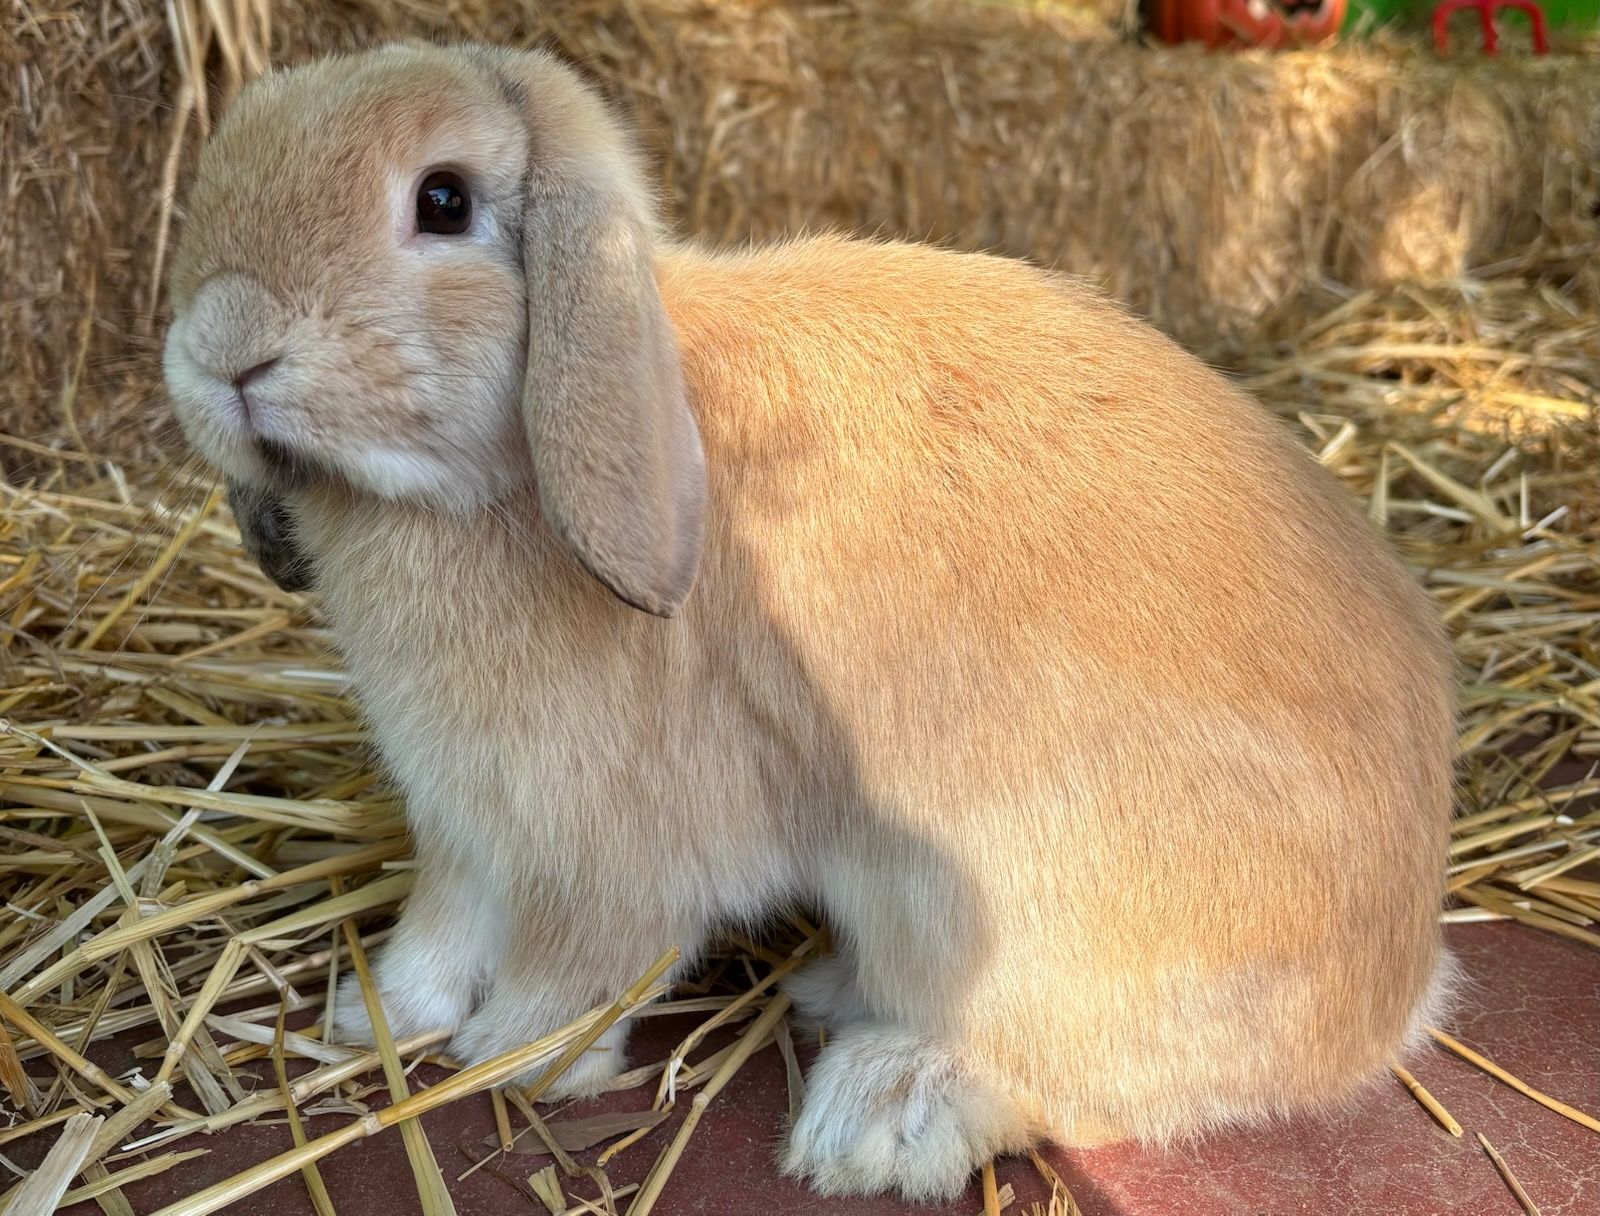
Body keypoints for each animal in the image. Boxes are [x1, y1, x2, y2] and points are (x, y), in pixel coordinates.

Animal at [162, 42, 1458, 1203]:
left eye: (443, 200)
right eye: (220, 159)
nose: (222, 348)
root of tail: (1394, 991)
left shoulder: (603, 853)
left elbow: (573, 973)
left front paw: (509, 1058)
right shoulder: (466, 826)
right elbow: (436, 929)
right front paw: (375, 1014)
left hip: (1006, 918)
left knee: (1077, 1083)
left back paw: (878, 1112)